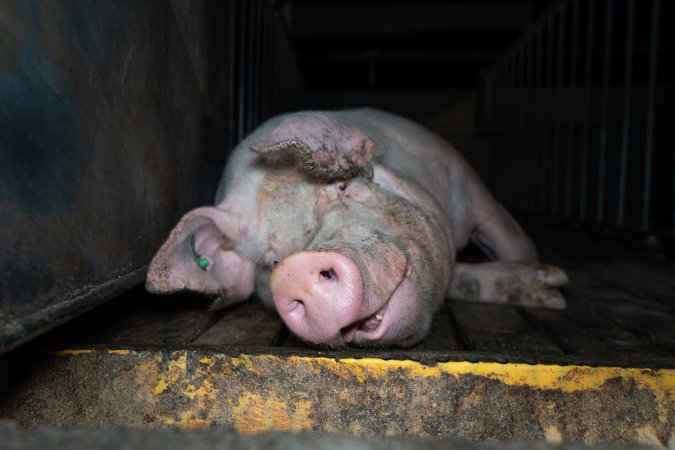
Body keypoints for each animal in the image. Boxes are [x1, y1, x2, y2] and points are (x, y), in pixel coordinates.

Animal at [146, 108, 568, 348]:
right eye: (271, 261)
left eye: (343, 187)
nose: (297, 272)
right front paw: (551, 291)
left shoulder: (474, 192)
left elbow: (513, 240)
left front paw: (554, 288)